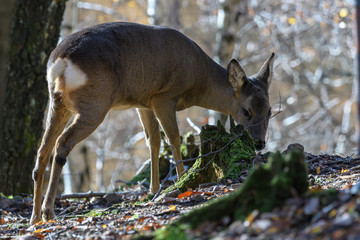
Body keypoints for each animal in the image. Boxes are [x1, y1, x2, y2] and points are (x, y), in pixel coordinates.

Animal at [30, 21, 276, 224]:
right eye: (246, 111)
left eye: (270, 109)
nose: (260, 143)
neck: (197, 79)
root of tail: (59, 62)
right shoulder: (164, 97)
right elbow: (174, 138)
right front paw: (180, 181)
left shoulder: (144, 103)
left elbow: (154, 142)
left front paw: (153, 189)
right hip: (95, 103)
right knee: (62, 143)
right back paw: (48, 212)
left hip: (59, 103)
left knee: (43, 149)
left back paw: (35, 217)